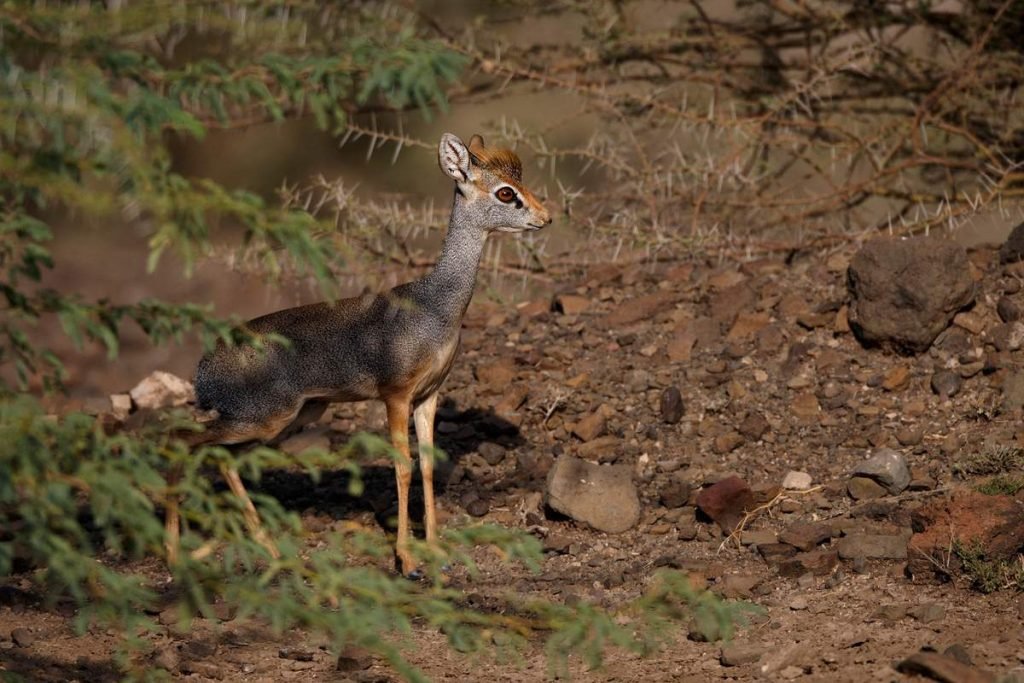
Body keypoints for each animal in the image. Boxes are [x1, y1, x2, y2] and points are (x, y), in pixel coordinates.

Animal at [167, 131, 552, 573]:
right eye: (506, 192)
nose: (546, 217)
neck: (436, 306)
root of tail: (202, 370)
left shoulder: (428, 396)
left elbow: (427, 466)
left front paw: (436, 548)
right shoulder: (395, 394)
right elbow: (402, 467)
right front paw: (406, 558)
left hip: (288, 418)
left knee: (224, 458)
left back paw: (266, 550)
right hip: (261, 418)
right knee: (181, 438)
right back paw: (173, 553)